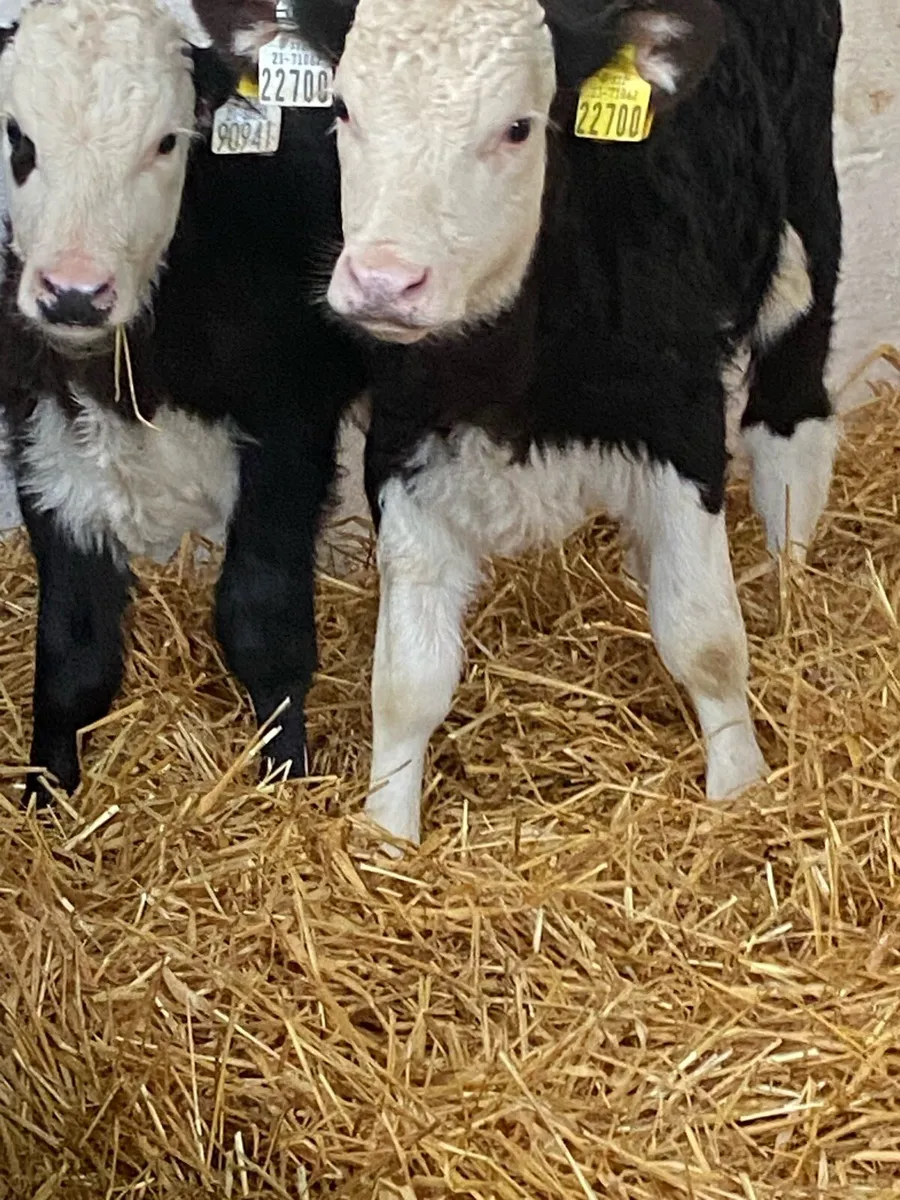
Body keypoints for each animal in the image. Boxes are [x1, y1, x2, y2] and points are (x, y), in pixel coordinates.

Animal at [0, 0, 365, 803]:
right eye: (18, 137)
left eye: (168, 141)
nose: (73, 294)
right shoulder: (39, 431)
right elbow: (73, 645)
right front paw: (47, 794)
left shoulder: (290, 431)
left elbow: (261, 619)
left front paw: (283, 778)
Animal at [292, 0, 843, 849]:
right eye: (343, 108)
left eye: (519, 127)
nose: (383, 280)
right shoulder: (402, 440)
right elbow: (406, 680)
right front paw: (386, 834)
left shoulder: (681, 420)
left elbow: (707, 637)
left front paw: (741, 792)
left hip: (808, 204)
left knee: (792, 427)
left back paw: (790, 589)